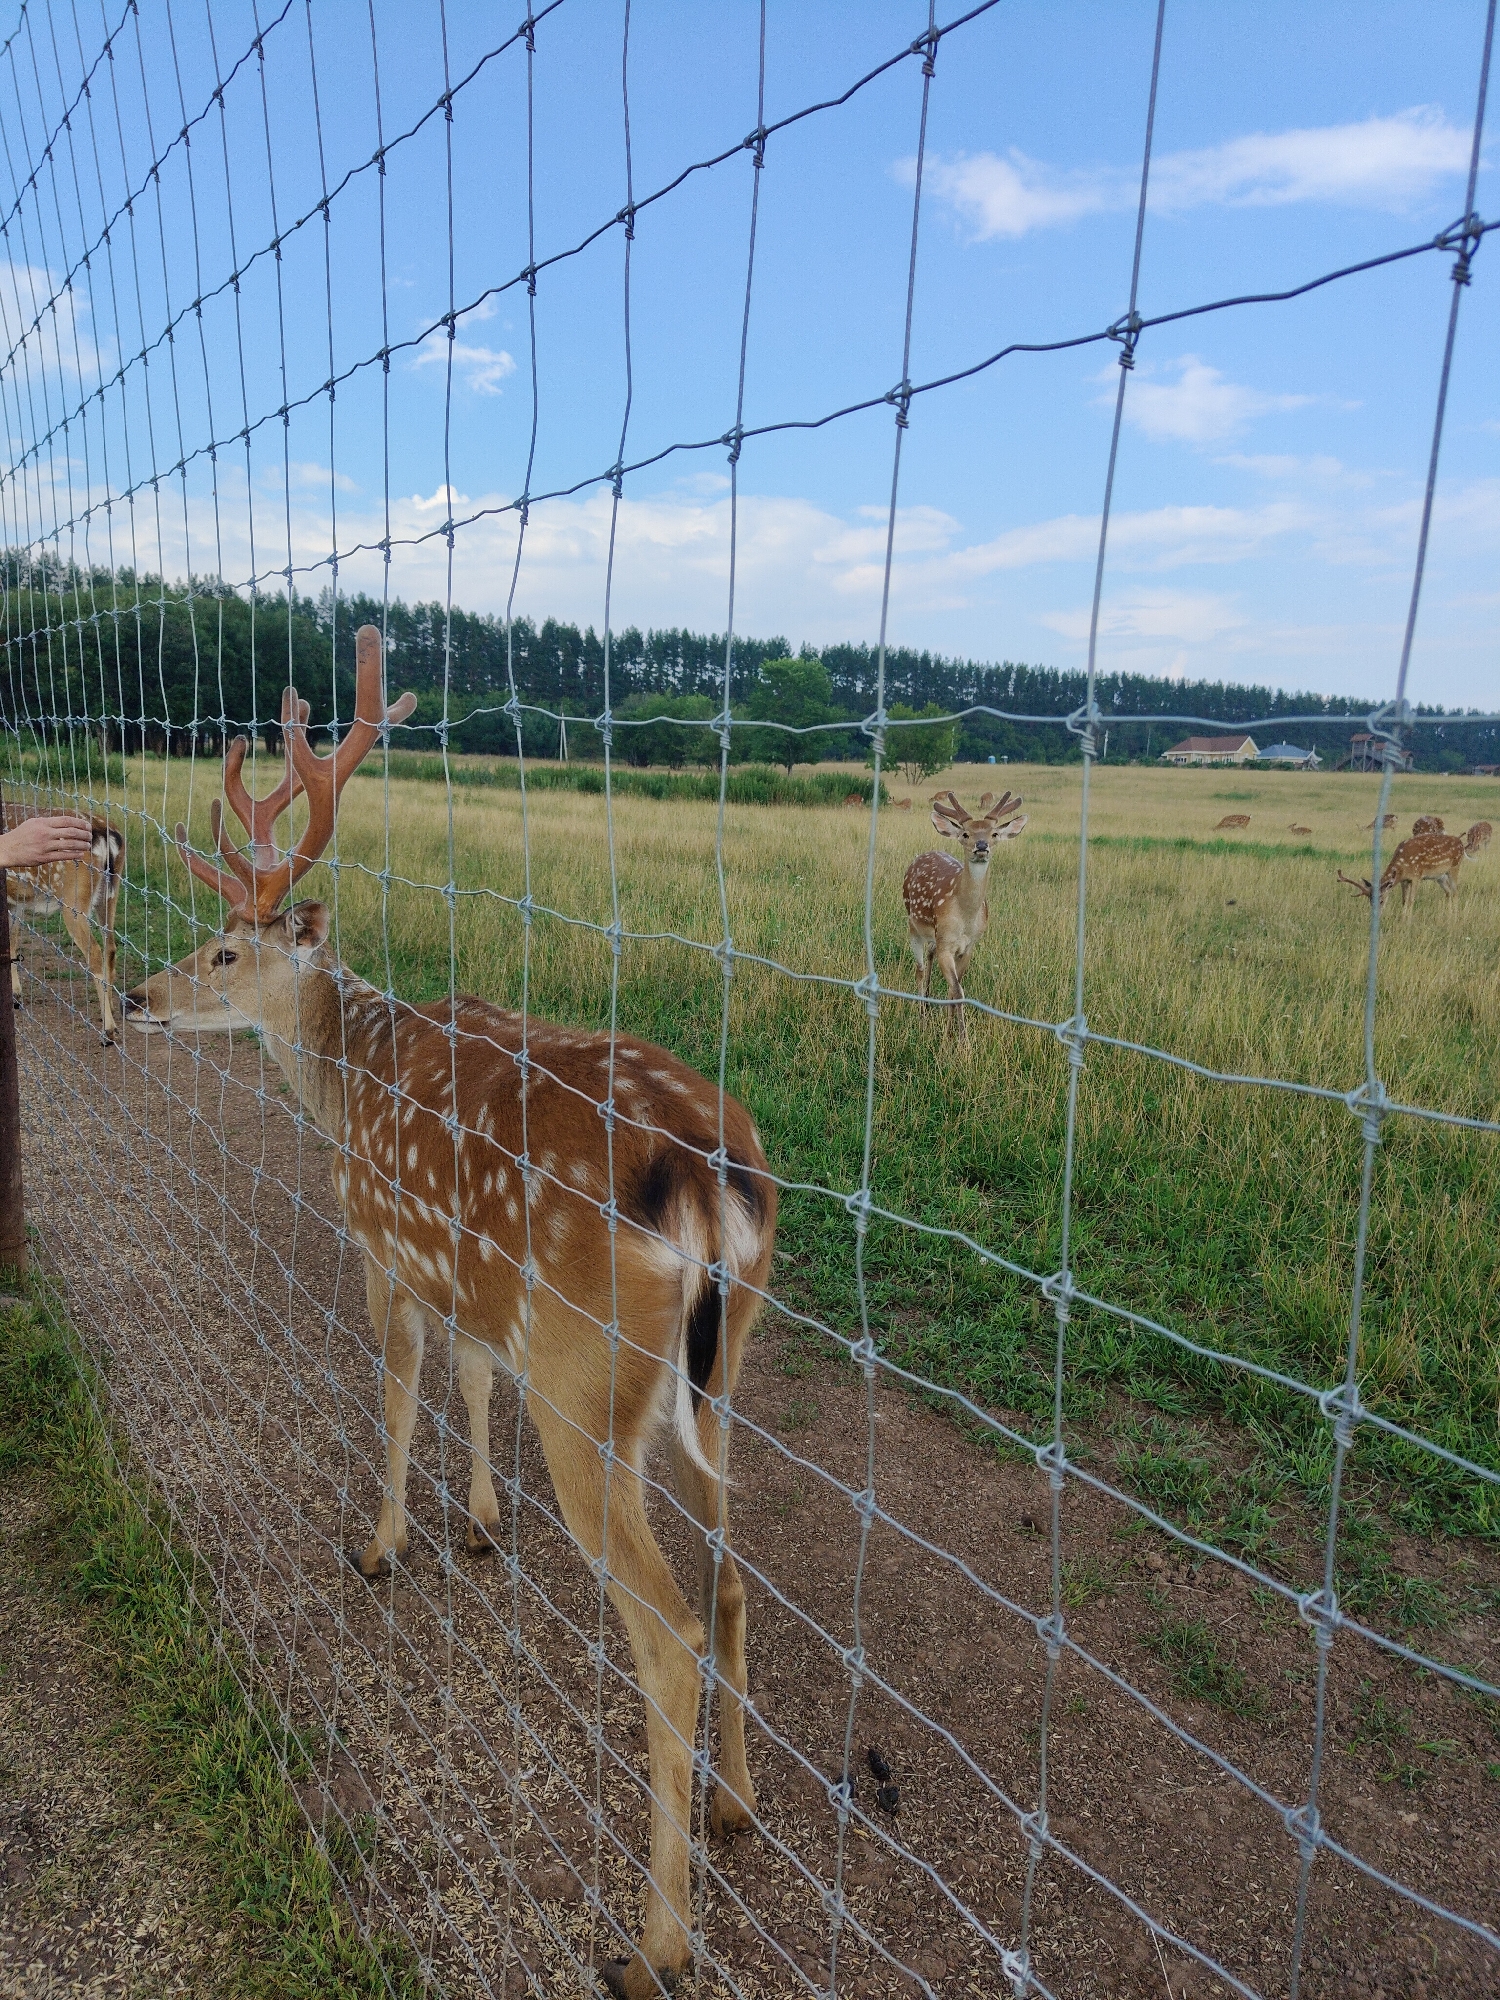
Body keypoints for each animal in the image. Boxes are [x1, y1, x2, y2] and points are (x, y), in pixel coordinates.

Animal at [4, 809, 125, 1042]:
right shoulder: (16, 901)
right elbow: (12, 940)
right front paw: (15, 995)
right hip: (110, 893)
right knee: (111, 946)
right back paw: (111, 1010)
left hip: (74, 899)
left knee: (95, 952)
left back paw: (108, 1030)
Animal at [122, 629, 776, 2000]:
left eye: (226, 951)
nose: (146, 995)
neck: (346, 1071)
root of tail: (711, 1176)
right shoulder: (475, 1285)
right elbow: (470, 1377)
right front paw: (477, 1521)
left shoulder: (381, 1238)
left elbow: (398, 1388)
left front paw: (382, 1542)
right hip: (718, 1373)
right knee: (735, 1577)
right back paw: (737, 1806)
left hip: (586, 1382)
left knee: (668, 1630)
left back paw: (655, 1941)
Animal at [902, 790, 1027, 1041]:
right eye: (965, 834)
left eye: (994, 833)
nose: (981, 845)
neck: (965, 918)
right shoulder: (946, 945)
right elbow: (958, 990)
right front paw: (962, 1041)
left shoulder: (969, 946)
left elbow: (955, 990)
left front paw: (950, 1033)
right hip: (913, 925)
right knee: (919, 969)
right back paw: (921, 1015)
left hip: (934, 936)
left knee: (929, 957)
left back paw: (928, 1003)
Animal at [1337, 831, 1466, 917]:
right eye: (1370, 901)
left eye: (1381, 900)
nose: (1375, 916)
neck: (1403, 866)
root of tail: (1460, 842)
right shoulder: (1404, 880)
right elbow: (1404, 900)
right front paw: (1403, 919)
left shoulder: (1417, 875)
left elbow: (1411, 900)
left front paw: (1408, 921)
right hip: (1439, 876)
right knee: (1448, 892)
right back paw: (1448, 915)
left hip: (1454, 867)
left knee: (1456, 892)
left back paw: (1454, 917)